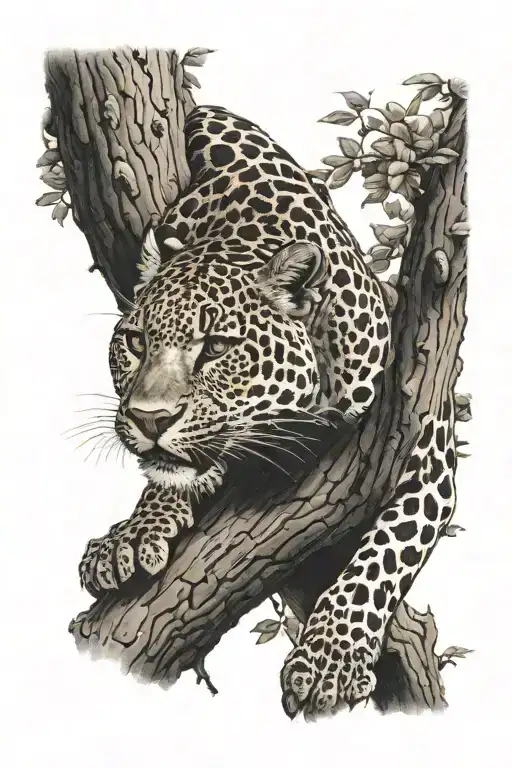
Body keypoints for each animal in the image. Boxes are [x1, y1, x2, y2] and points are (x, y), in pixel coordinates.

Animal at [78, 105, 457, 717]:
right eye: (135, 342)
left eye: (216, 347)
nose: (149, 419)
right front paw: (134, 532)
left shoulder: (425, 438)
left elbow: (385, 551)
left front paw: (330, 656)